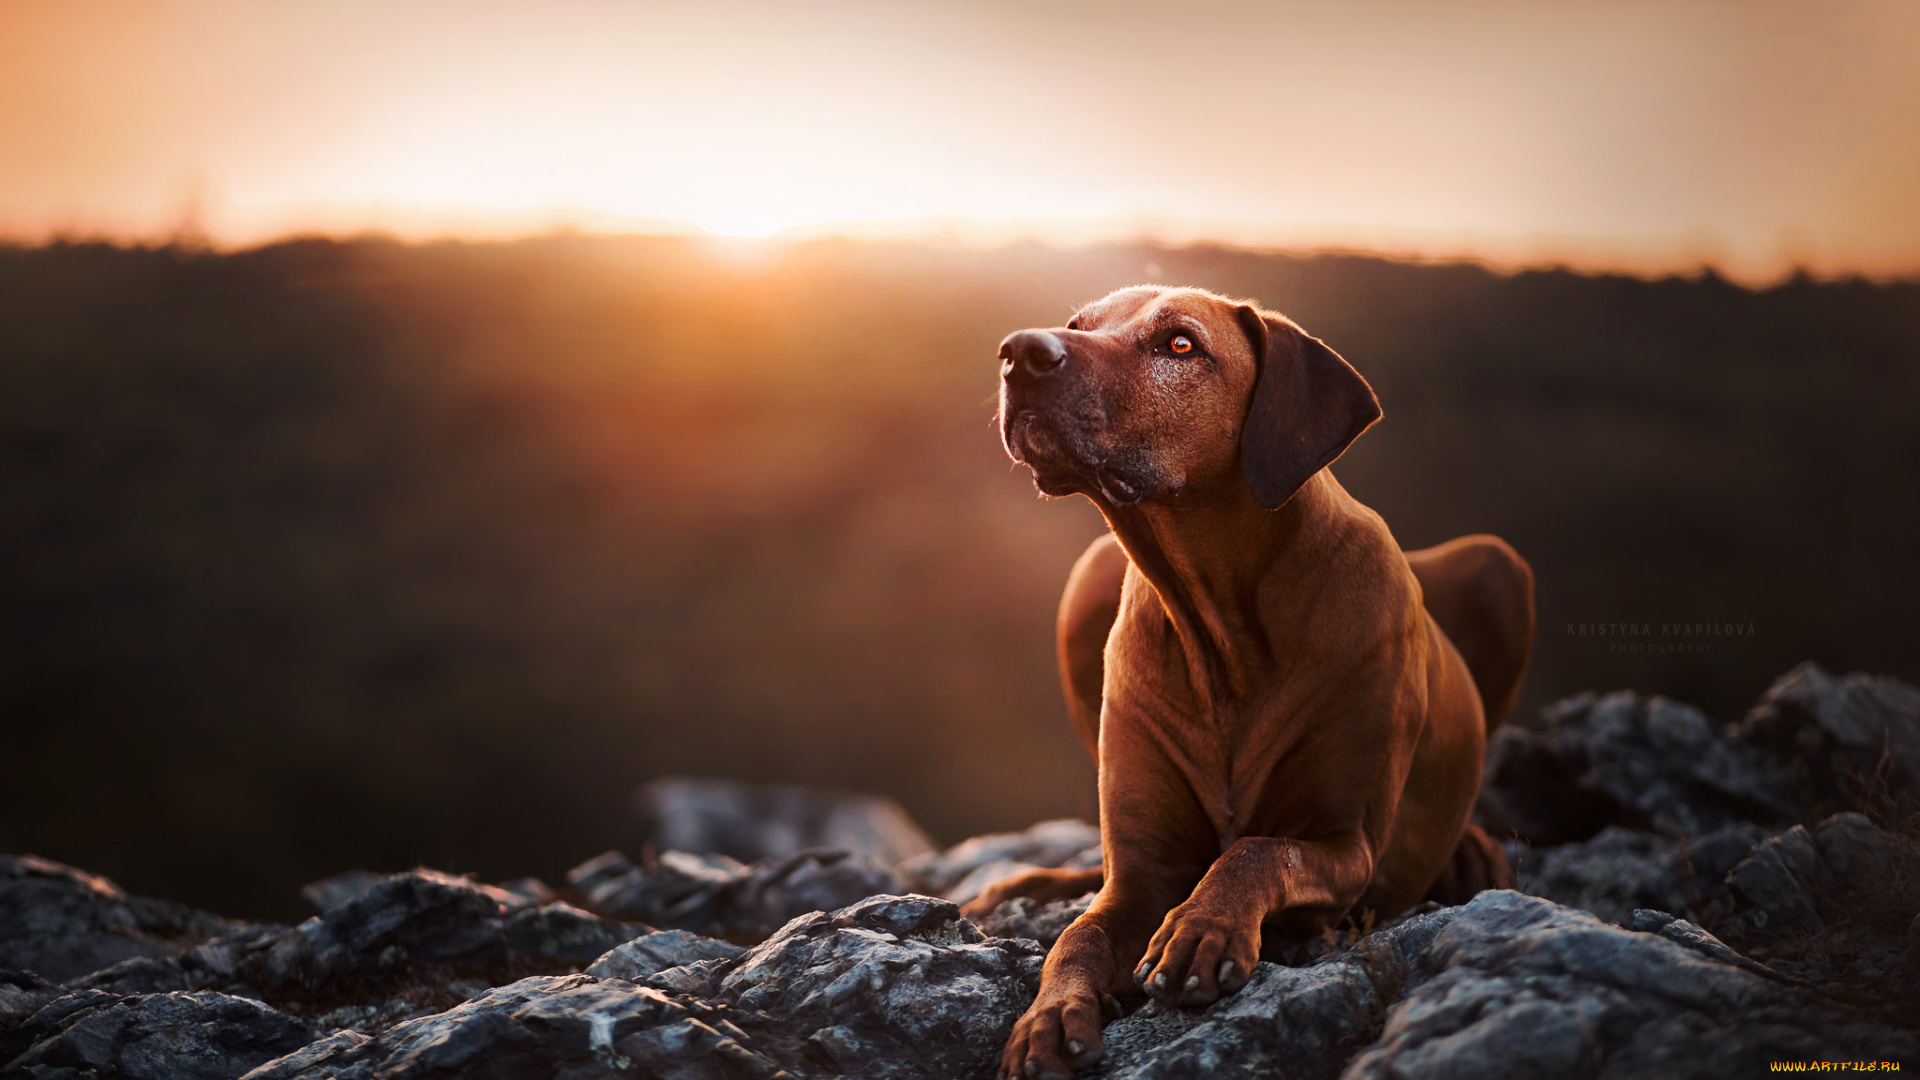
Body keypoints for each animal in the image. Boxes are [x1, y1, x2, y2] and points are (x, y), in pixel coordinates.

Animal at [983, 286, 1536, 1076]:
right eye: (1077, 325)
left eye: (1180, 345)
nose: (1020, 353)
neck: (1221, 629)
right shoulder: (1142, 876)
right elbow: (1079, 934)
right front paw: (1047, 1018)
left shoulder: (1348, 846)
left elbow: (1257, 850)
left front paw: (1202, 929)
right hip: (1087, 575)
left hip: (1498, 566)